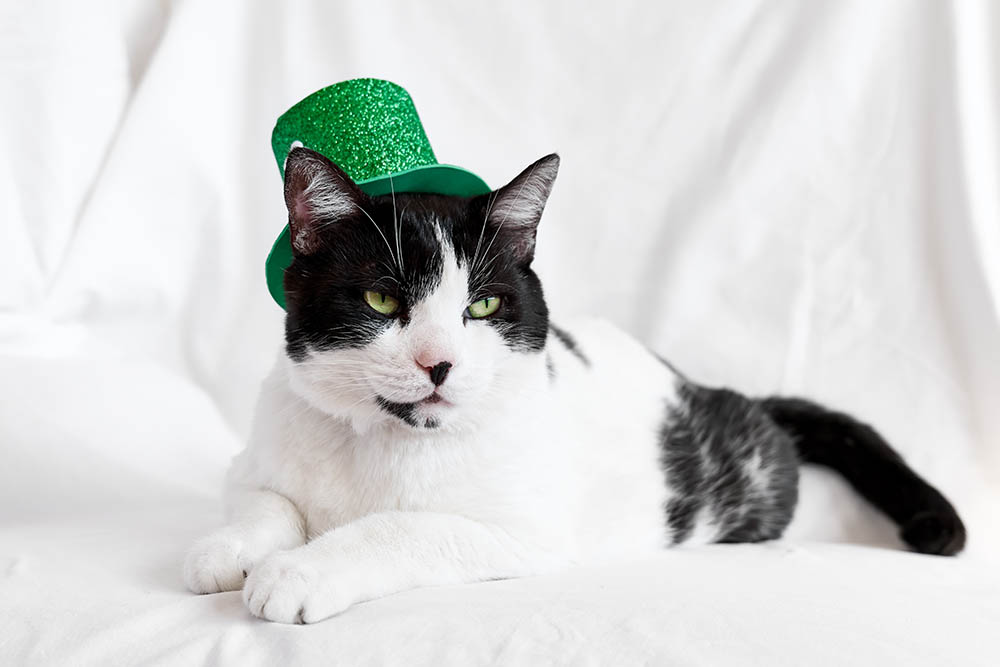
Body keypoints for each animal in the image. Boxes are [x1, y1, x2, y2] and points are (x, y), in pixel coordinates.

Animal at [184, 146, 964, 628]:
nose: (439, 362)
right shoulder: (255, 451)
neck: (379, 442)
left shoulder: (525, 530)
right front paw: (228, 548)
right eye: (380, 299)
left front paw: (300, 571)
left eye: (483, 306)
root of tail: (713, 387)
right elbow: (265, 501)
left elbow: (407, 527)